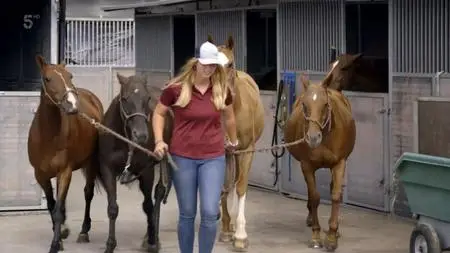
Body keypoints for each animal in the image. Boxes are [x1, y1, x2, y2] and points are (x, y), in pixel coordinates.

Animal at [28, 54, 104, 253]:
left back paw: (84, 232)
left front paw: (55, 244)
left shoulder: (65, 172)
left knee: (88, 193)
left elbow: (58, 209)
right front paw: (61, 235)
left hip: (91, 163)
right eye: (48, 78)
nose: (72, 105)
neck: (48, 136)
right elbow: (52, 206)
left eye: (70, 76)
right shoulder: (41, 175)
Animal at [79, 72, 172, 252]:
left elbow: (148, 206)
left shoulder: (147, 171)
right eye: (124, 98)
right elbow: (112, 208)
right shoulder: (107, 169)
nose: (141, 135)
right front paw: (110, 244)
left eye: (147, 98)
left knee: (158, 193)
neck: (125, 140)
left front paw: (152, 242)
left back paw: (152, 237)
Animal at [284, 69, 356, 251]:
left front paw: (331, 236)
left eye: (325, 105)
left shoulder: (339, 163)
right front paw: (316, 236)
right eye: (304, 105)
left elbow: (336, 195)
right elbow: (315, 196)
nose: (313, 138)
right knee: (311, 193)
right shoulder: (307, 166)